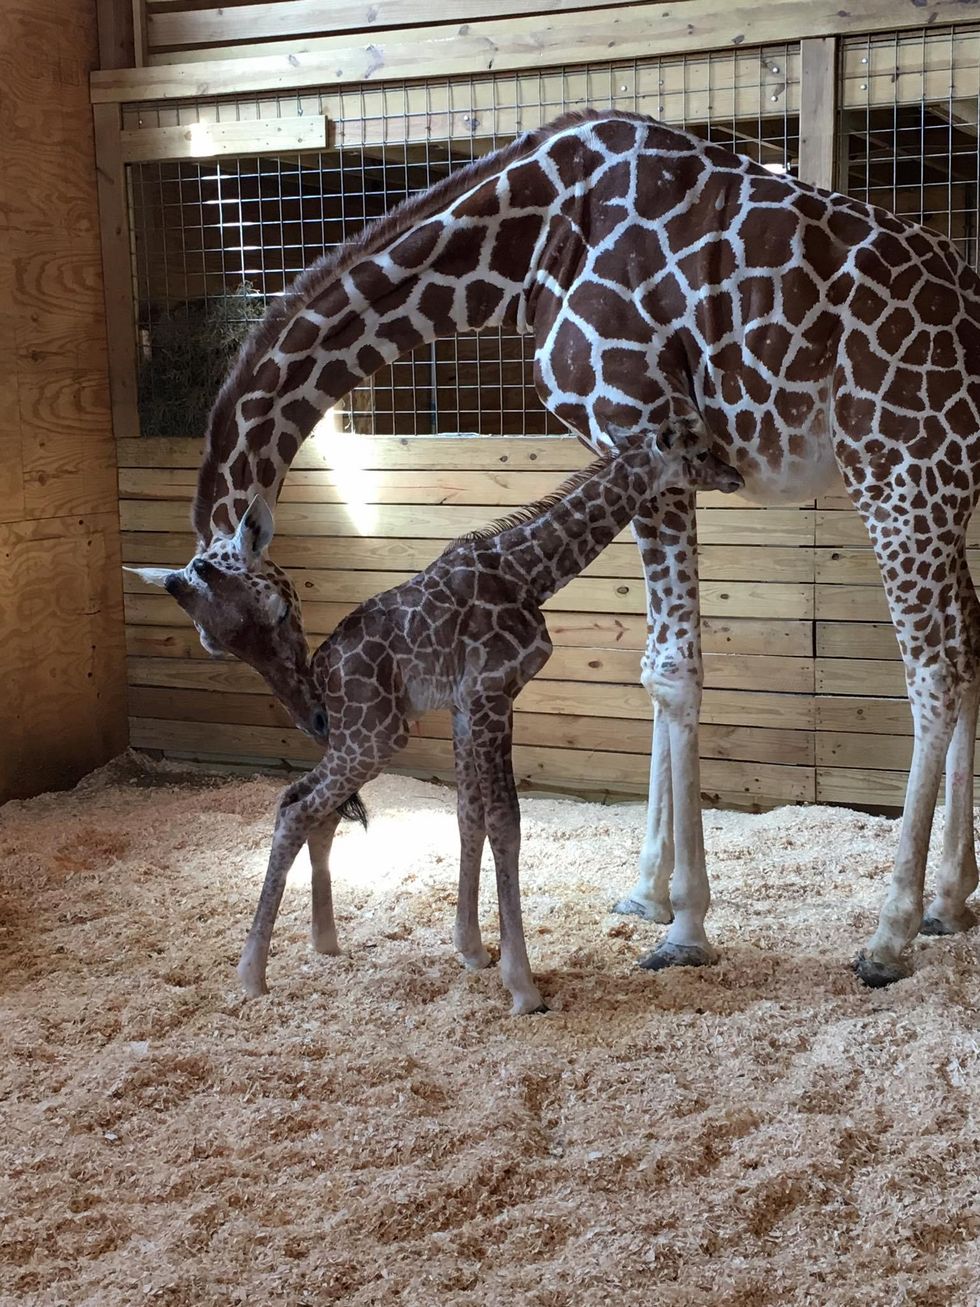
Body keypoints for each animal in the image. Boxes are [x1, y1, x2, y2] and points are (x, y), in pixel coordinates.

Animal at [135, 424, 743, 1012]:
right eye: (697, 449)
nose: (734, 475)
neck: (529, 573)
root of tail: (323, 675)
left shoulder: (465, 705)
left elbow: (468, 814)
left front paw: (472, 949)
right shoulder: (491, 693)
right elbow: (504, 822)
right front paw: (522, 986)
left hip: (362, 737)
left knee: (311, 807)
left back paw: (324, 942)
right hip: (375, 736)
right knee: (297, 807)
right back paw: (252, 975)